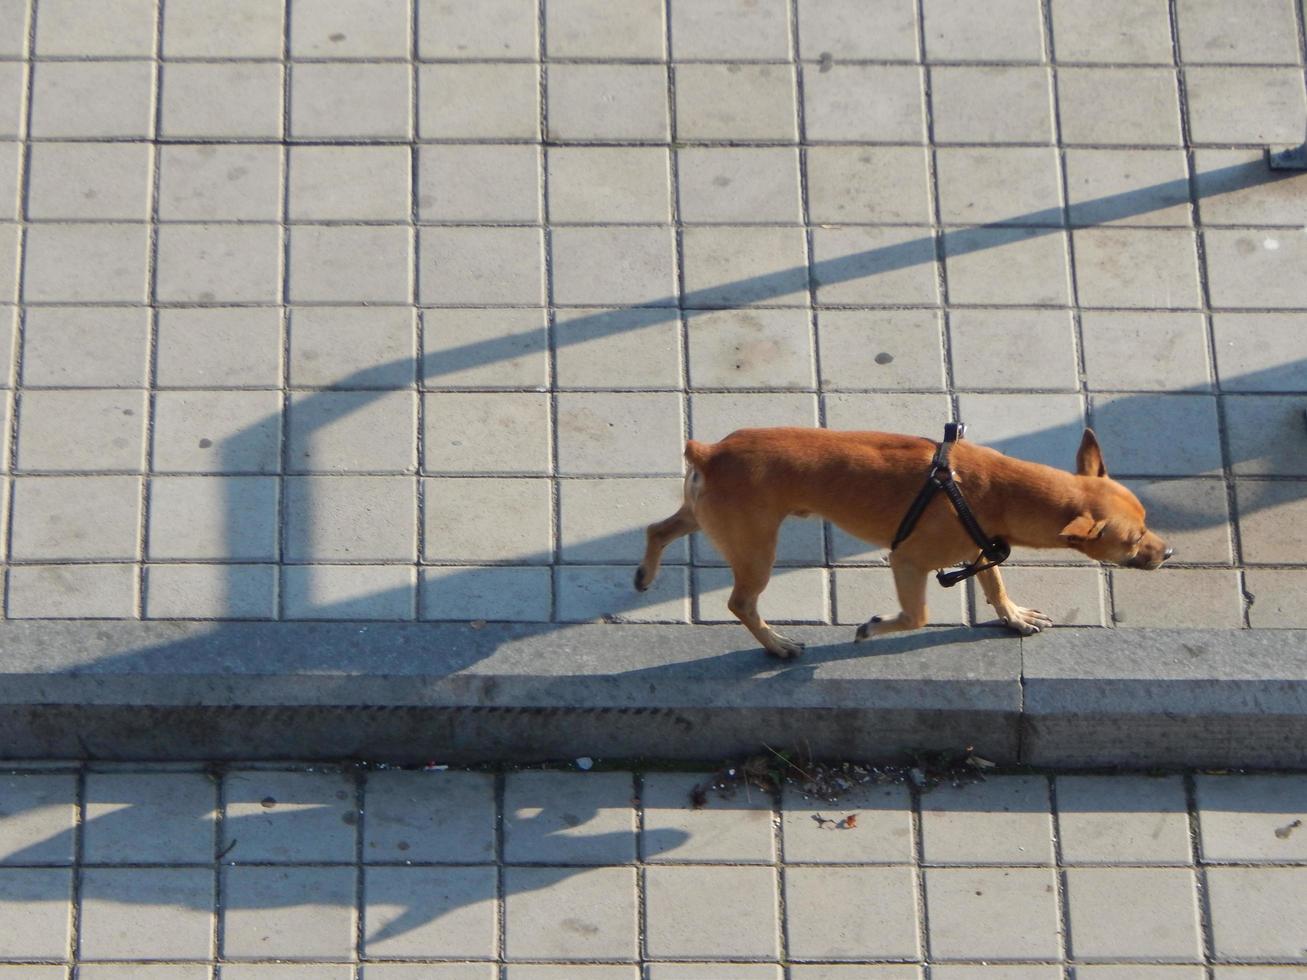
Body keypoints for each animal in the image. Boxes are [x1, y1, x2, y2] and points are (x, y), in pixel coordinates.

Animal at [635, 428, 1176, 661]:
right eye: (1133, 541)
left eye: (1148, 523)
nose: (1168, 552)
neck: (1002, 490)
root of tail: (710, 451)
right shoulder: (908, 561)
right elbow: (917, 617)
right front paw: (872, 628)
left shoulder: (980, 548)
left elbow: (995, 587)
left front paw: (1014, 617)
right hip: (756, 548)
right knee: (741, 602)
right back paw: (777, 644)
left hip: (706, 516)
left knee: (657, 529)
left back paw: (644, 575)